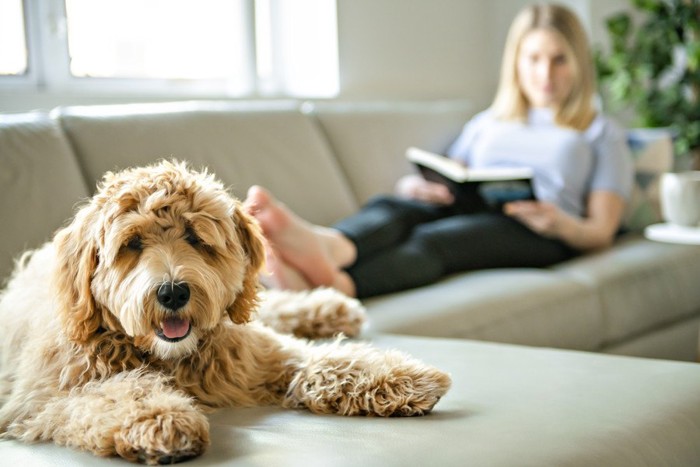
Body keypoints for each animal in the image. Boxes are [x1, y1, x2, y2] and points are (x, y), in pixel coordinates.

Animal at [0, 160, 452, 464]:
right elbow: (116, 393)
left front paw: (401, 377)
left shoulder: (254, 355)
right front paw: (161, 418)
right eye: (132, 244)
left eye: (194, 237)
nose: (172, 292)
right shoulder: (43, 398)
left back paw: (330, 308)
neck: (171, 358)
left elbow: (320, 360)